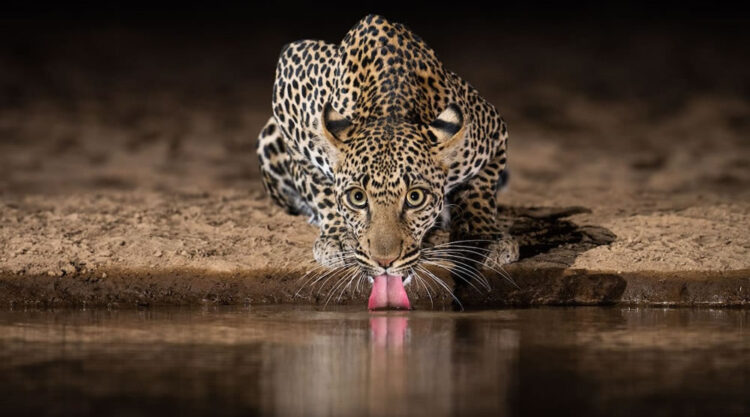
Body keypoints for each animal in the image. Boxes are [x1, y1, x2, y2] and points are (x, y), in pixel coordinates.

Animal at [258, 14, 516, 308]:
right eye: (357, 197)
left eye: (415, 197)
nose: (384, 262)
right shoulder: (290, 83)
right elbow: (318, 185)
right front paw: (338, 237)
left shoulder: (493, 130)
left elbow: (480, 191)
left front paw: (487, 238)